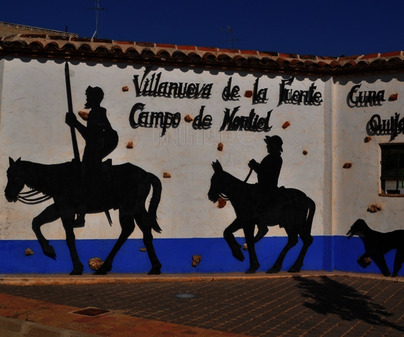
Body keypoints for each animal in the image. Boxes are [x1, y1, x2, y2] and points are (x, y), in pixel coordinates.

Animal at [4, 156, 163, 274]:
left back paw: (104, 267)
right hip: (137, 208)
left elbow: (69, 238)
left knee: (128, 229)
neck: (57, 178)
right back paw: (155, 267)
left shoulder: (66, 211)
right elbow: (36, 222)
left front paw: (77, 268)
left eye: (16, 176)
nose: (8, 195)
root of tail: (145, 174)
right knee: (146, 230)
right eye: (7, 174)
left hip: (127, 208)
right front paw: (49, 250)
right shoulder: (58, 208)